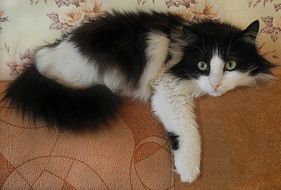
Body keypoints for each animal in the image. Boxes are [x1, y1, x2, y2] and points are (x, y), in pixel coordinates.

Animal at [2, 10, 274, 183]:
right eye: (202, 65)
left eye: (230, 64)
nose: (215, 84)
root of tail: (43, 54)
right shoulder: (167, 88)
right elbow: (187, 131)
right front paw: (188, 168)